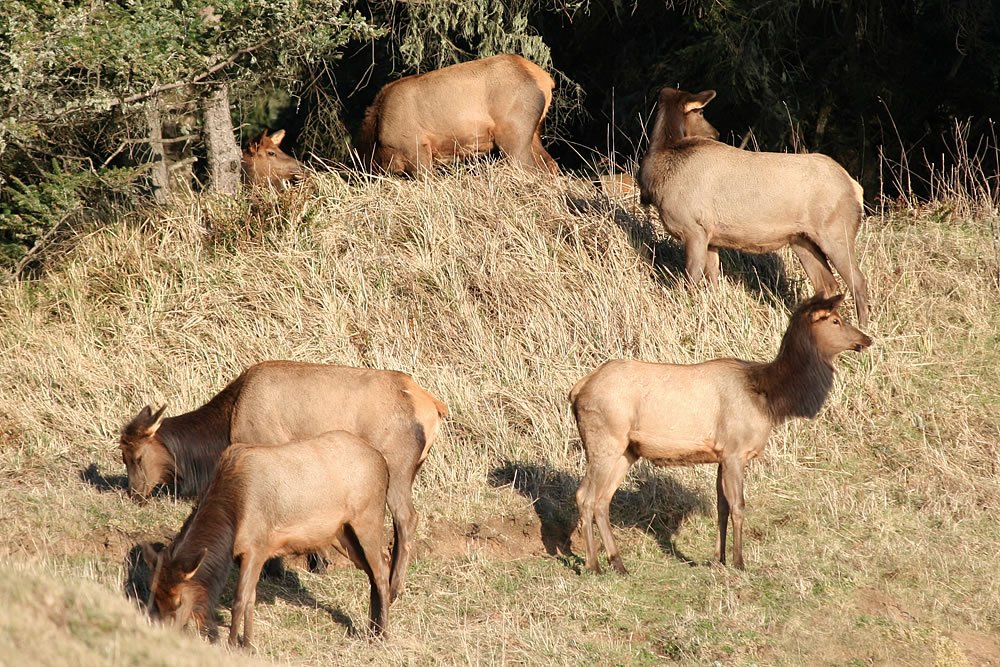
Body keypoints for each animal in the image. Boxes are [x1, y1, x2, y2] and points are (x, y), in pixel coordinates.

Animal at [120, 361, 448, 601]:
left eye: (136, 456)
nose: (135, 494)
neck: (227, 421)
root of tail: (432, 406)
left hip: (397, 469)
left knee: (407, 518)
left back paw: (394, 589)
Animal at [142, 430, 391, 646]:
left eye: (179, 601)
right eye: (155, 596)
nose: (167, 635)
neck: (234, 514)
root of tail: (383, 462)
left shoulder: (255, 546)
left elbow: (240, 599)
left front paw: (232, 643)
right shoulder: (254, 553)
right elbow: (251, 598)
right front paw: (247, 644)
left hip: (369, 518)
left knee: (381, 570)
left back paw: (383, 635)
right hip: (342, 534)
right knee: (372, 571)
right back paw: (372, 630)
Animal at [358, 54, 559, 175]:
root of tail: (547, 80)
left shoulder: (415, 148)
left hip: (514, 132)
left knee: (531, 169)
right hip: (534, 132)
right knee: (550, 166)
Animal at [569, 293, 872, 574]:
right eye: (836, 320)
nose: (866, 339)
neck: (769, 398)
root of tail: (576, 389)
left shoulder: (721, 455)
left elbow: (721, 507)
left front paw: (719, 558)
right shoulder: (735, 452)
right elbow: (738, 506)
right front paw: (739, 562)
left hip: (627, 451)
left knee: (603, 500)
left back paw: (618, 563)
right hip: (604, 441)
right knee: (585, 495)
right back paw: (593, 565)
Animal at [638, 86, 871, 327]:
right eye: (701, 113)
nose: (716, 134)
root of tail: (855, 188)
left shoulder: (694, 229)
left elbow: (691, 280)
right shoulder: (711, 237)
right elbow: (712, 281)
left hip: (835, 231)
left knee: (858, 282)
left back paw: (863, 326)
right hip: (802, 239)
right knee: (827, 284)